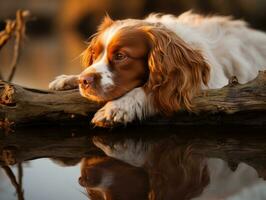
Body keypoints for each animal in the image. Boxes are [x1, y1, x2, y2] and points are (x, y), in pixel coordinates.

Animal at [48, 10, 266, 126]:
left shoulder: (211, 87)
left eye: (120, 56)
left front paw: (119, 107)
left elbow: (152, 91)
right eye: (95, 54)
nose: (84, 81)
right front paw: (67, 79)